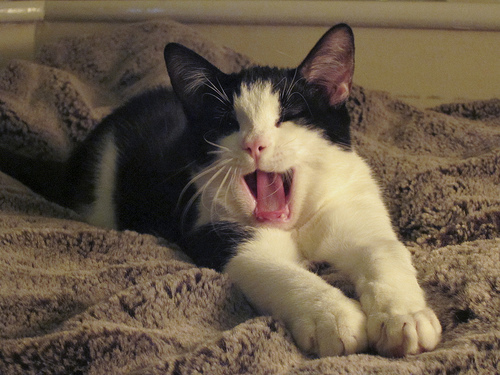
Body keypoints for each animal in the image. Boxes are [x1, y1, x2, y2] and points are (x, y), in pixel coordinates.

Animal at [0, 23, 442, 358]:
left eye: (288, 115)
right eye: (229, 123)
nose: (255, 144)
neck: (296, 222)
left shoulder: (354, 204)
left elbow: (384, 252)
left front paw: (405, 316)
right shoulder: (215, 229)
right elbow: (279, 272)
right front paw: (332, 315)